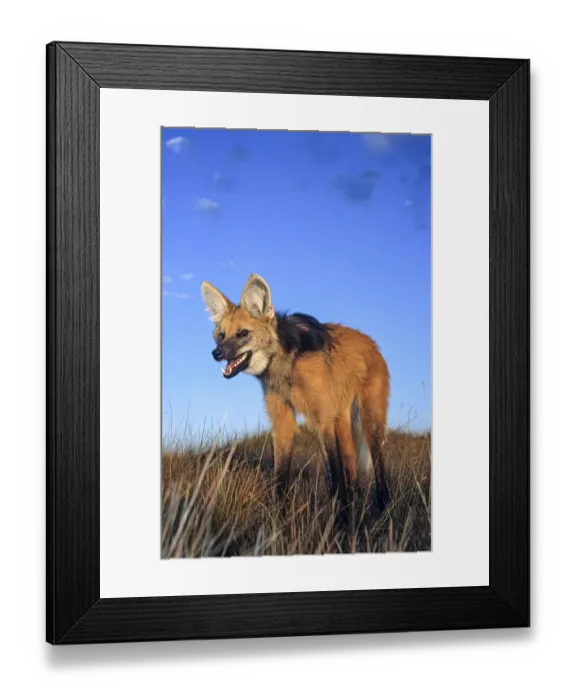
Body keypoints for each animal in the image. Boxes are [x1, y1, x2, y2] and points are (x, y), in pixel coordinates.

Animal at [201, 273, 391, 510]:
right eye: (221, 335)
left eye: (243, 333)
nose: (216, 353)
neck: (287, 366)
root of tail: (372, 343)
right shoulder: (283, 421)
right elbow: (281, 477)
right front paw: (278, 516)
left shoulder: (322, 420)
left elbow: (335, 478)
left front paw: (340, 518)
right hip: (342, 420)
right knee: (351, 471)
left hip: (368, 421)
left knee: (378, 470)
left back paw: (382, 508)